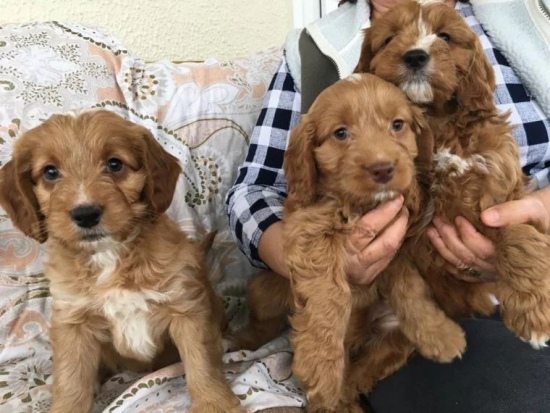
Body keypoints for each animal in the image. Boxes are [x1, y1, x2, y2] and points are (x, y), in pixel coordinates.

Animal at [0, 109, 244, 412]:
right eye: (50, 172)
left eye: (115, 164)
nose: (85, 214)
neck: (110, 255)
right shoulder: (73, 322)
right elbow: (70, 379)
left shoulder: (186, 307)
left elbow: (202, 361)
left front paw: (215, 402)